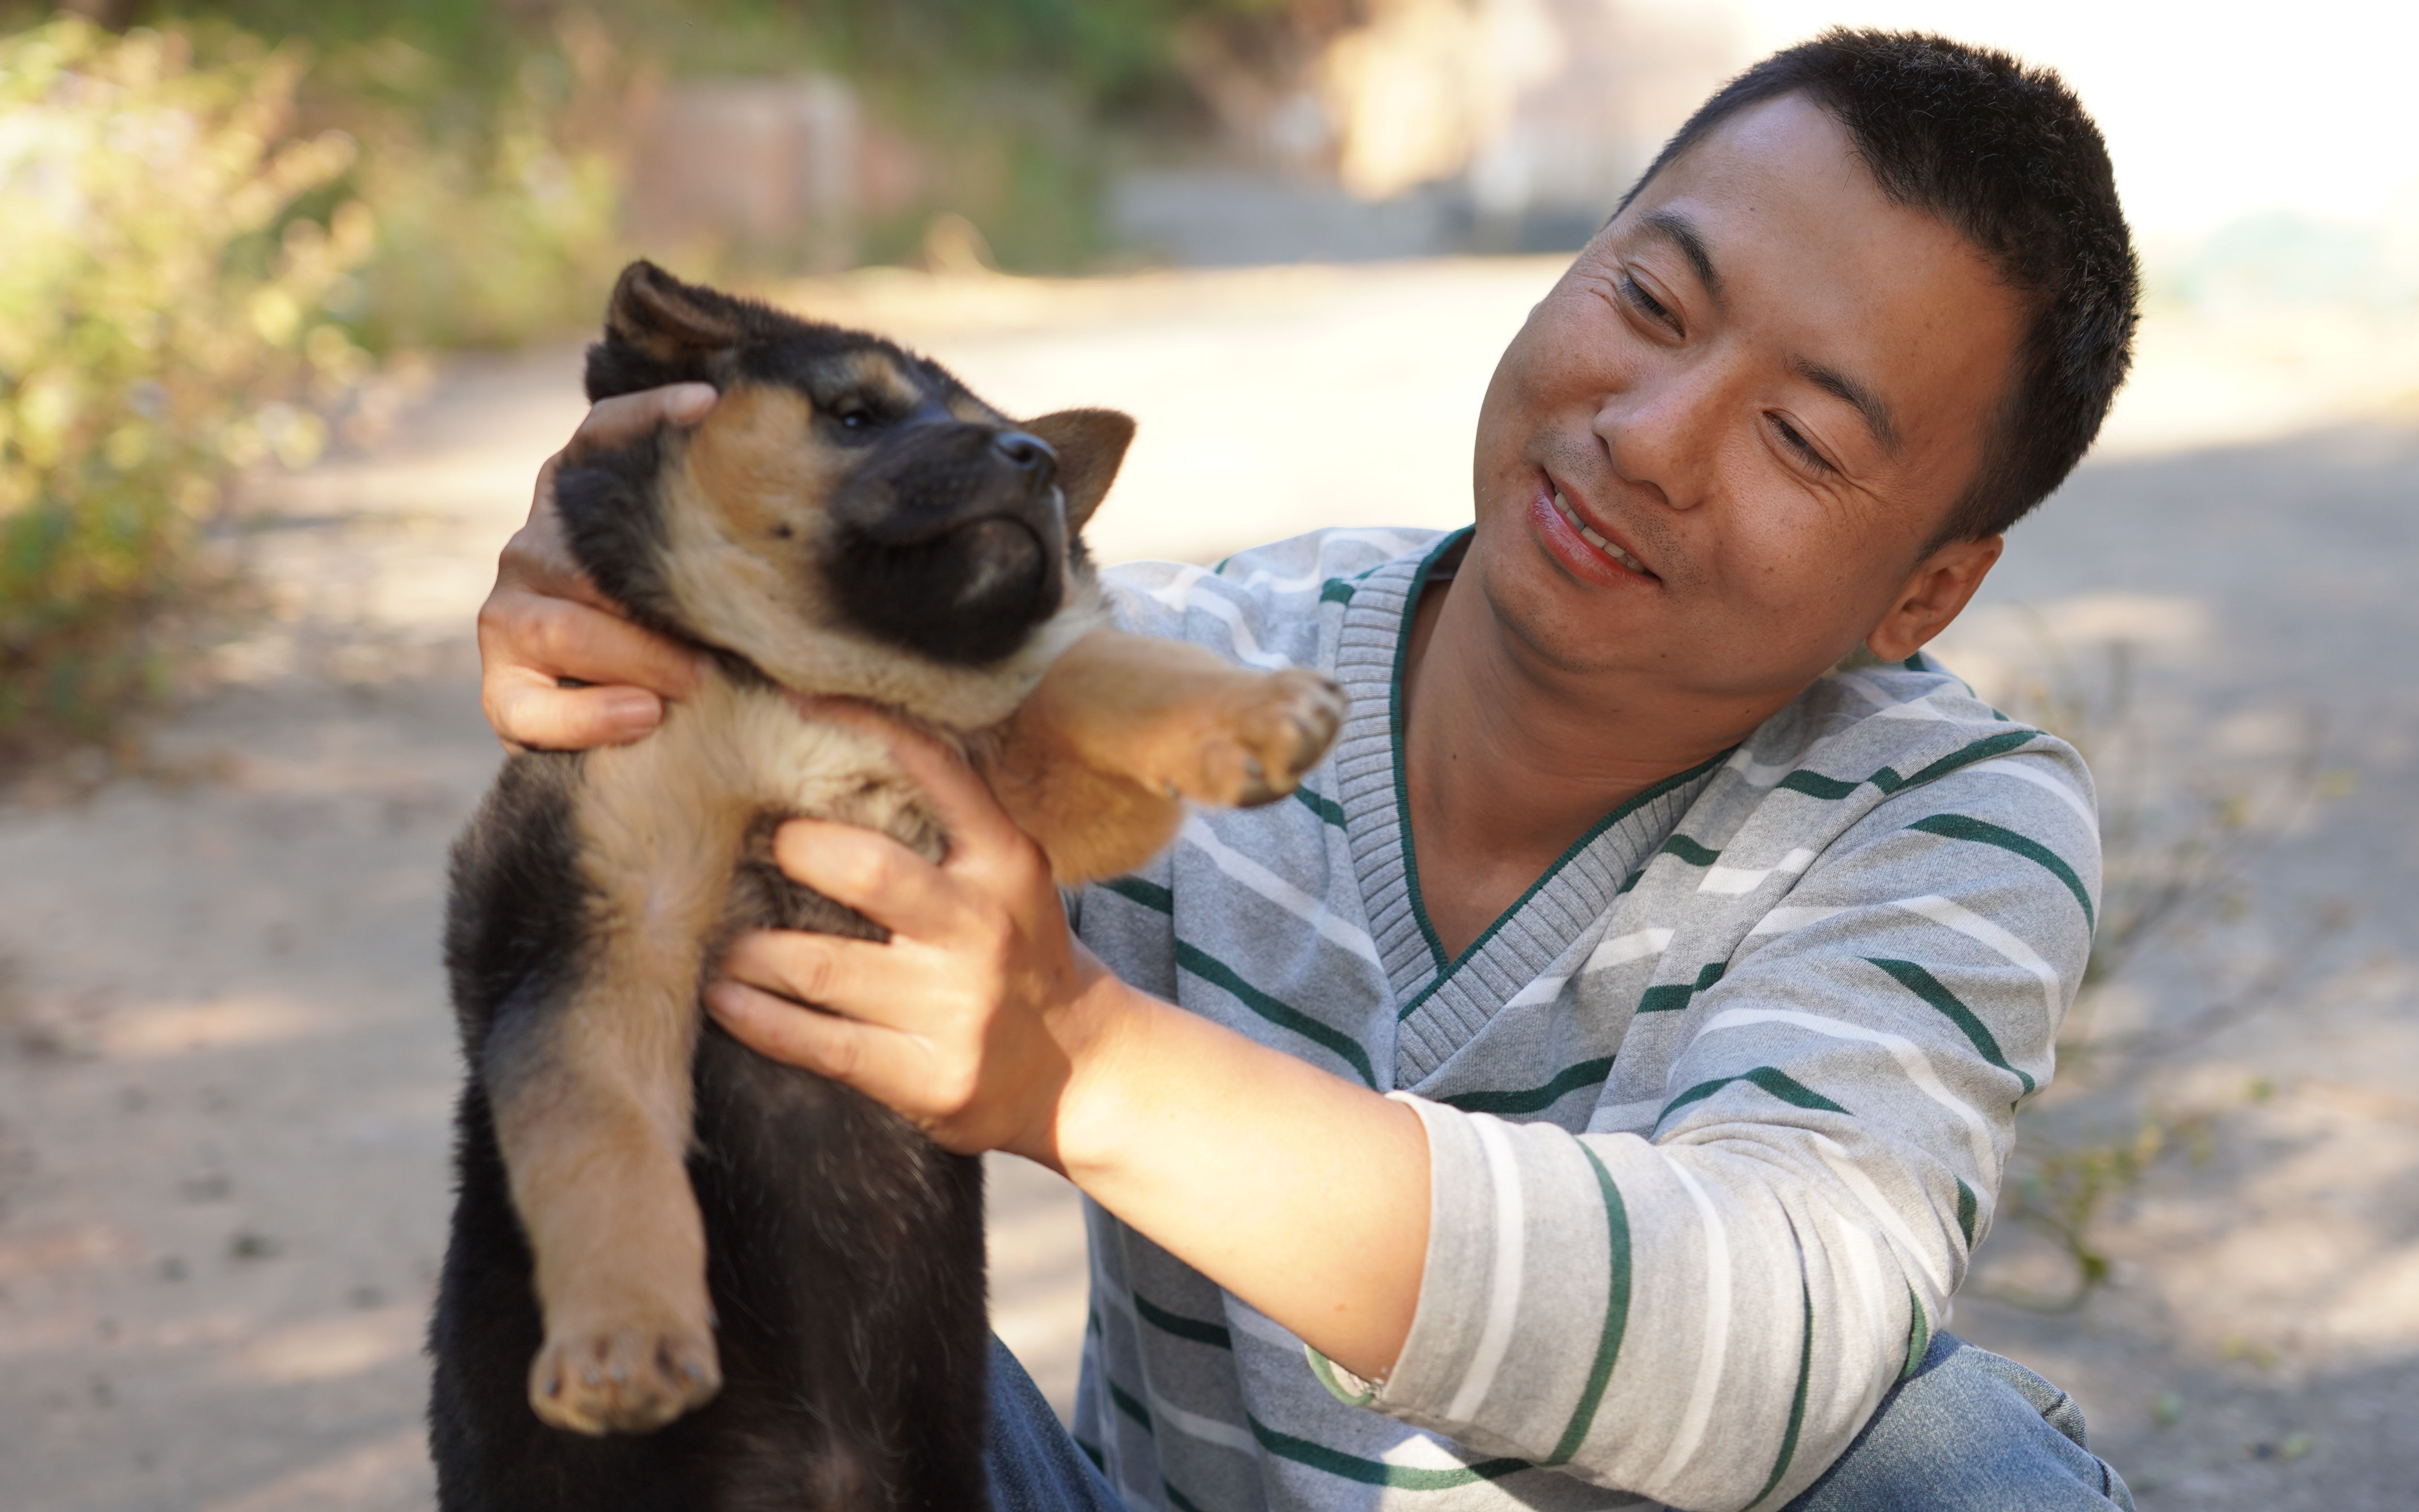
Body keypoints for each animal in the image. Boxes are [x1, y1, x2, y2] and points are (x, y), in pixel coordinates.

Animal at [428, 265, 1354, 1509]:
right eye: (855, 414)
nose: (1037, 462)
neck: (806, 687)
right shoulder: (598, 921)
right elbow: (598, 1131)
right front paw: (624, 1339)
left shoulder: (1033, 784)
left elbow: (1087, 665)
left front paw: (1251, 712)